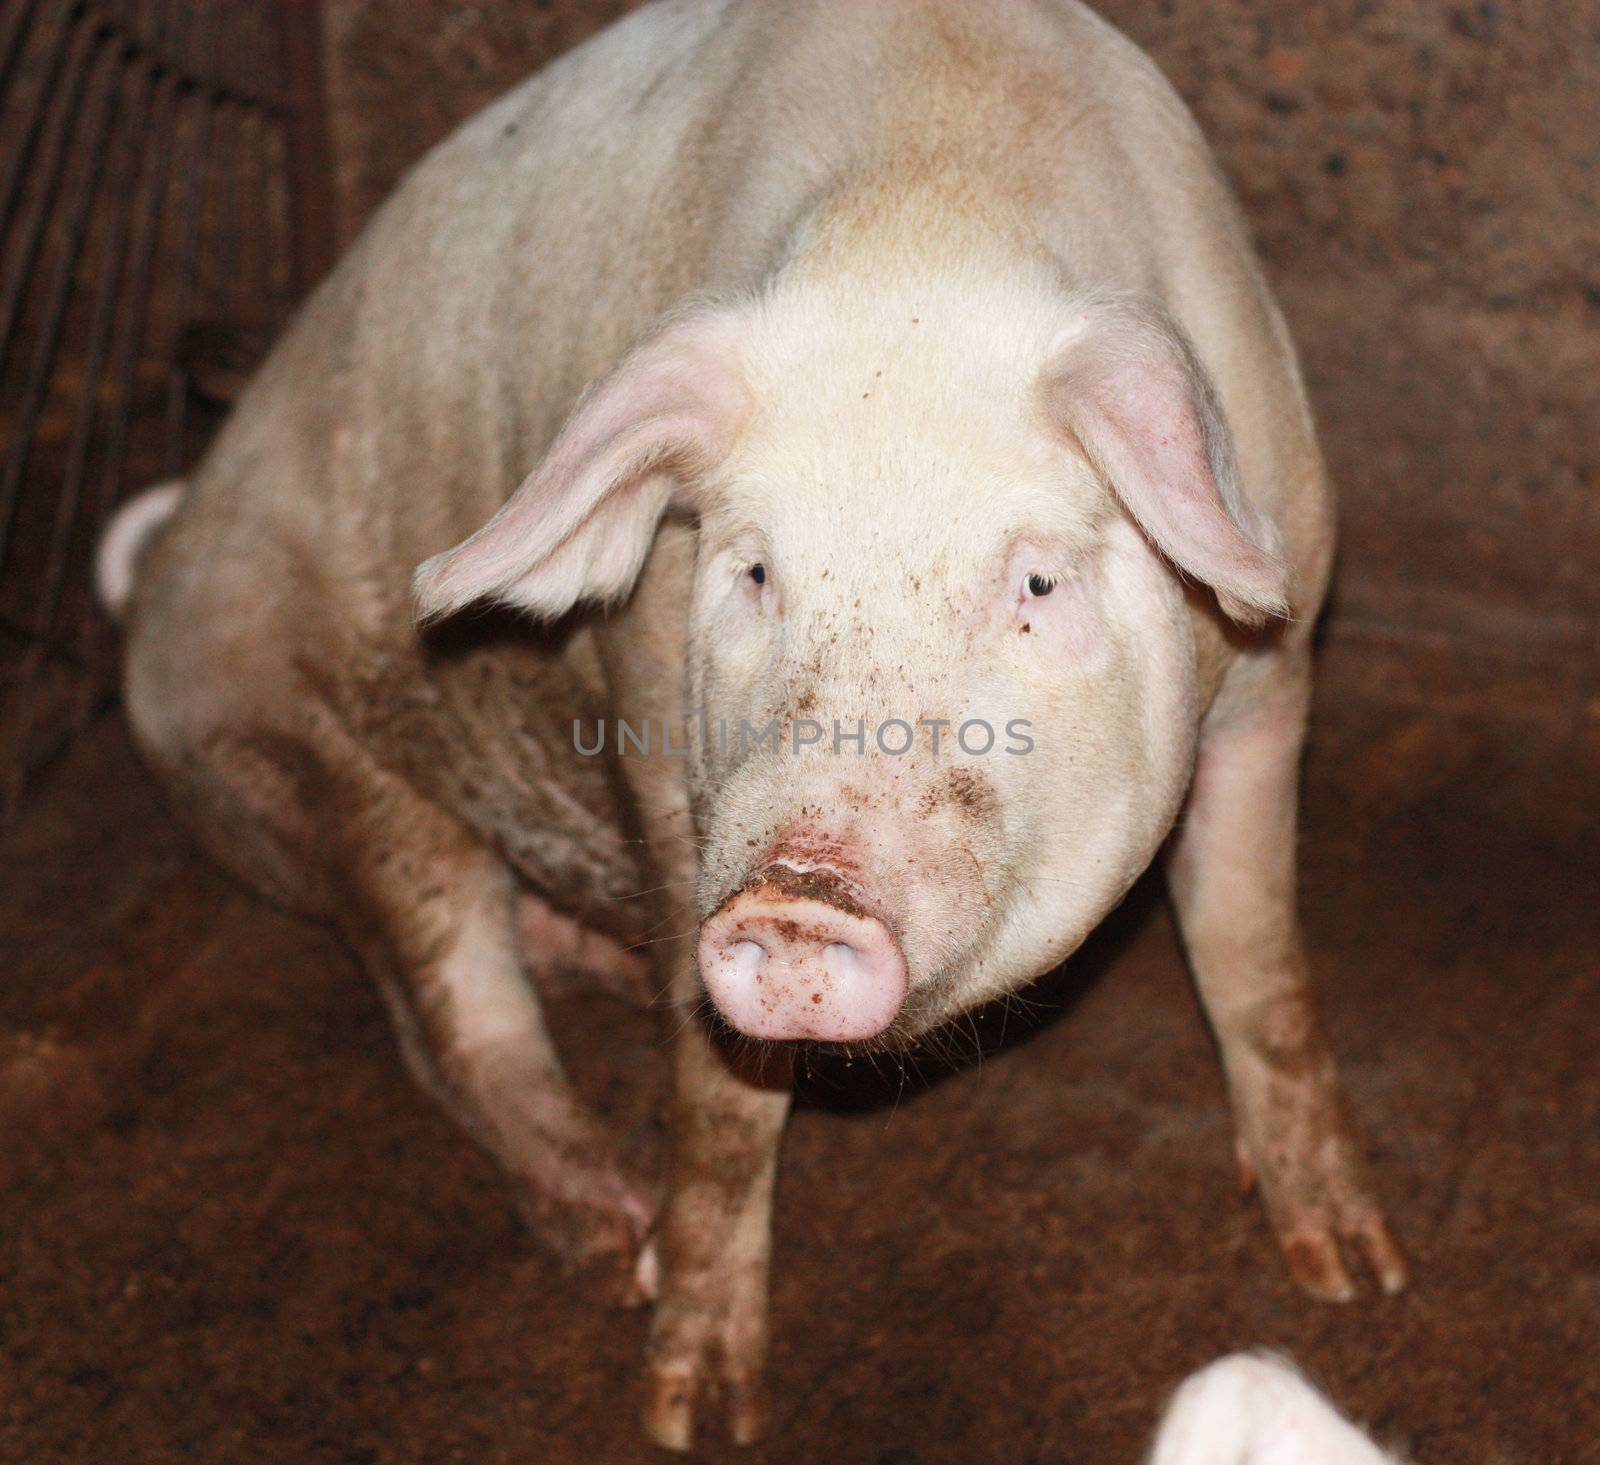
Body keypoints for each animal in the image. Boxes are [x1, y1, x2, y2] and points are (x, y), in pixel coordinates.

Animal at [103, 0, 1401, 1445]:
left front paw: (1354, 1271)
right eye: (754, 569)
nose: (797, 895)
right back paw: (616, 1241)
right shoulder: (652, 726)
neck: (927, 207)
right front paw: (693, 1411)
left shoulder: (1275, 674)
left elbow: (1255, 959)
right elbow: (719, 1107)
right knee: (448, 1010)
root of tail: (157, 586)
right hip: (301, 760)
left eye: (1037, 581)